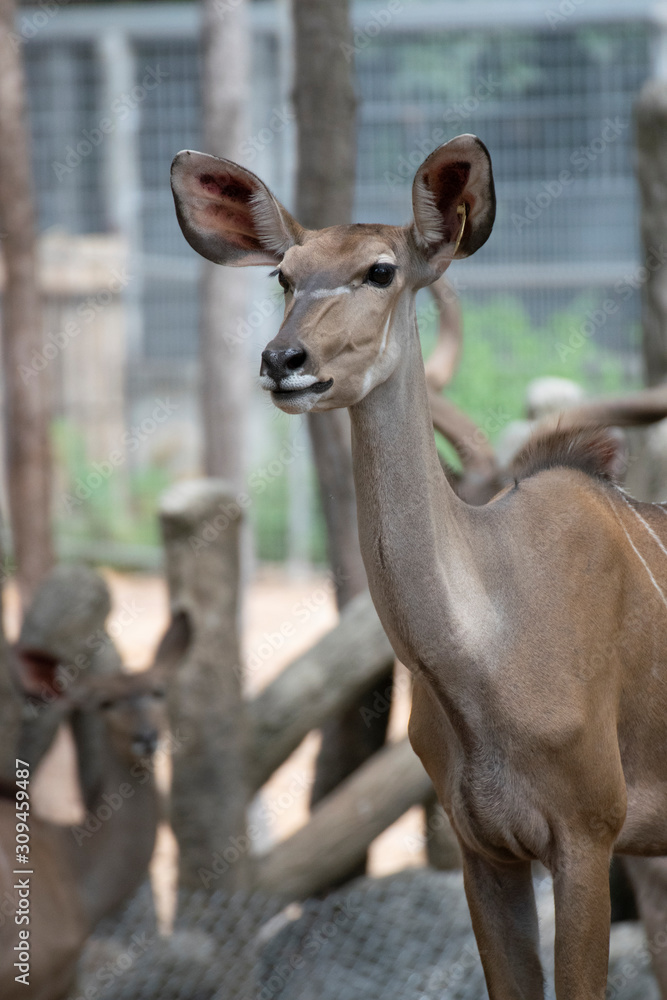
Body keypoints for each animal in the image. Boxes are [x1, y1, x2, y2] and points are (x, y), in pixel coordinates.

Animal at [171, 135, 664, 1000]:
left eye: (380, 270)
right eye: (283, 274)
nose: (283, 359)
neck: (487, 644)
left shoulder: (587, 835)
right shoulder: (484, 851)